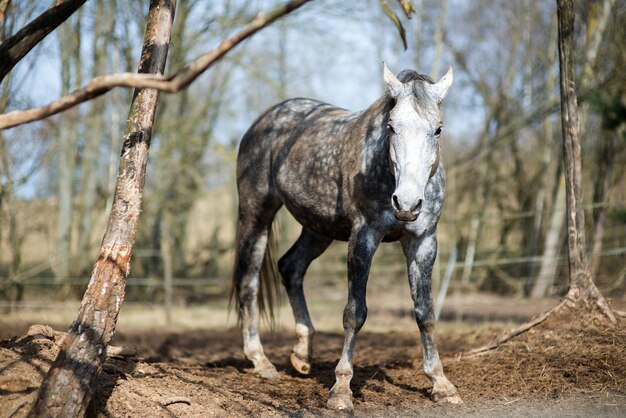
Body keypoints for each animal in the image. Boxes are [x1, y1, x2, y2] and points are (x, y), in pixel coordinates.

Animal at [232, 63, 460, 410]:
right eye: (392, 127)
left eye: (438, 129)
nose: (407, 204)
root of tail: (267, 119)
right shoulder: (363, 237)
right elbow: (355, 313)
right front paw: (341, 389)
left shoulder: (423, 241)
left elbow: (426, 312)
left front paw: (441, 383)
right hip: (256, 215)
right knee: (249, 281)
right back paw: (260, 361)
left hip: (317, 228)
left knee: (290, 267)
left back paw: (302, 354)